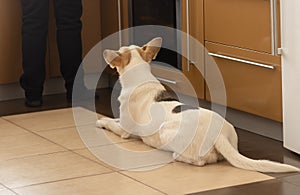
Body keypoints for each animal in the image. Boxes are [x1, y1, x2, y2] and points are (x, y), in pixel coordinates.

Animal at [96, 37, 300, 173]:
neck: (141, 79)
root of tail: (218, 135)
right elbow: (113, 118)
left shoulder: (124, 130)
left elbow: (111, 123)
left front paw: (101, 122)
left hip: (166, 131)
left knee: (199, 161)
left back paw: (178, 156)